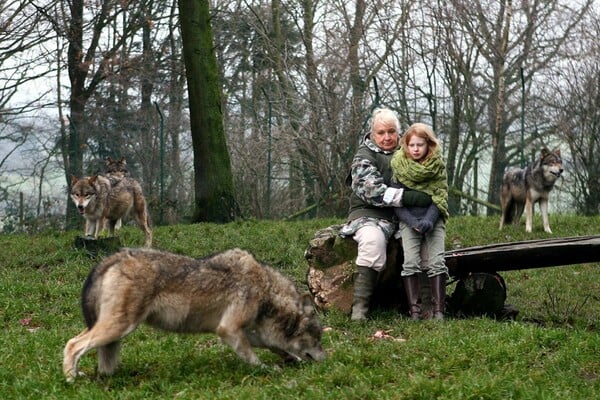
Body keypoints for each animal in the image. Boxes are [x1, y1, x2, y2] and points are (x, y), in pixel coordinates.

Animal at [63, 247, 326, 382]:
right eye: (318, 338)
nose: (327, 360)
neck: (266, 289)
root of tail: (113, 256)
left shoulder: (240, 331)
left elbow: (271, 345)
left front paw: (290, 359)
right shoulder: (229, 329)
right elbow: (252, 357)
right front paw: (266, 370)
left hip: (111, 329)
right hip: (120, 327)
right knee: (72, 344)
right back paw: (71, 380)